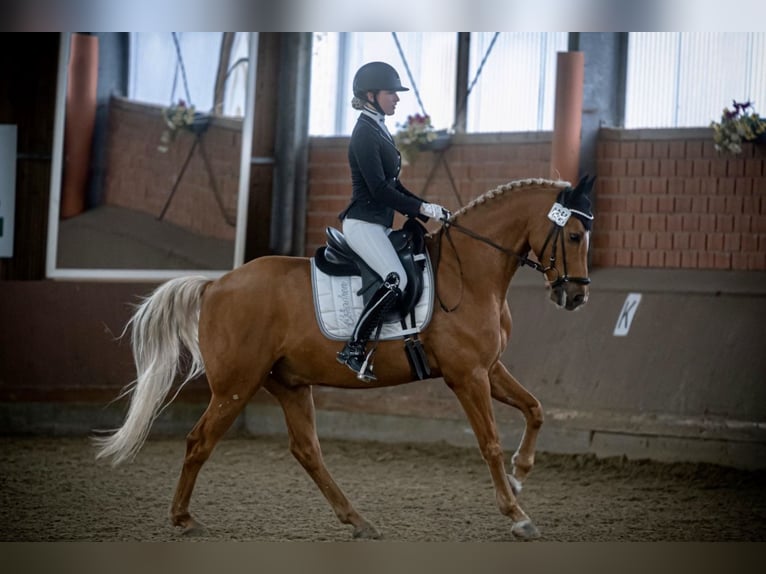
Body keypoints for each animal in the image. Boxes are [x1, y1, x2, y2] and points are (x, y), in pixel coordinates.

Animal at [94, 176, 595, 541]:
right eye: (573, 235)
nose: (574, 297)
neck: (468, 271)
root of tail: (216, 284)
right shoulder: (467, 375)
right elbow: (489, 442)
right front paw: (516, 512)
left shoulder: (488, 368)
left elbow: (535, 408)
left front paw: (521, 473)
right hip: (236, 385)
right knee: (200, 442)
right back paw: (183, 519)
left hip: (289, 383)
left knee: (307, 450)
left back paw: (358, 520)